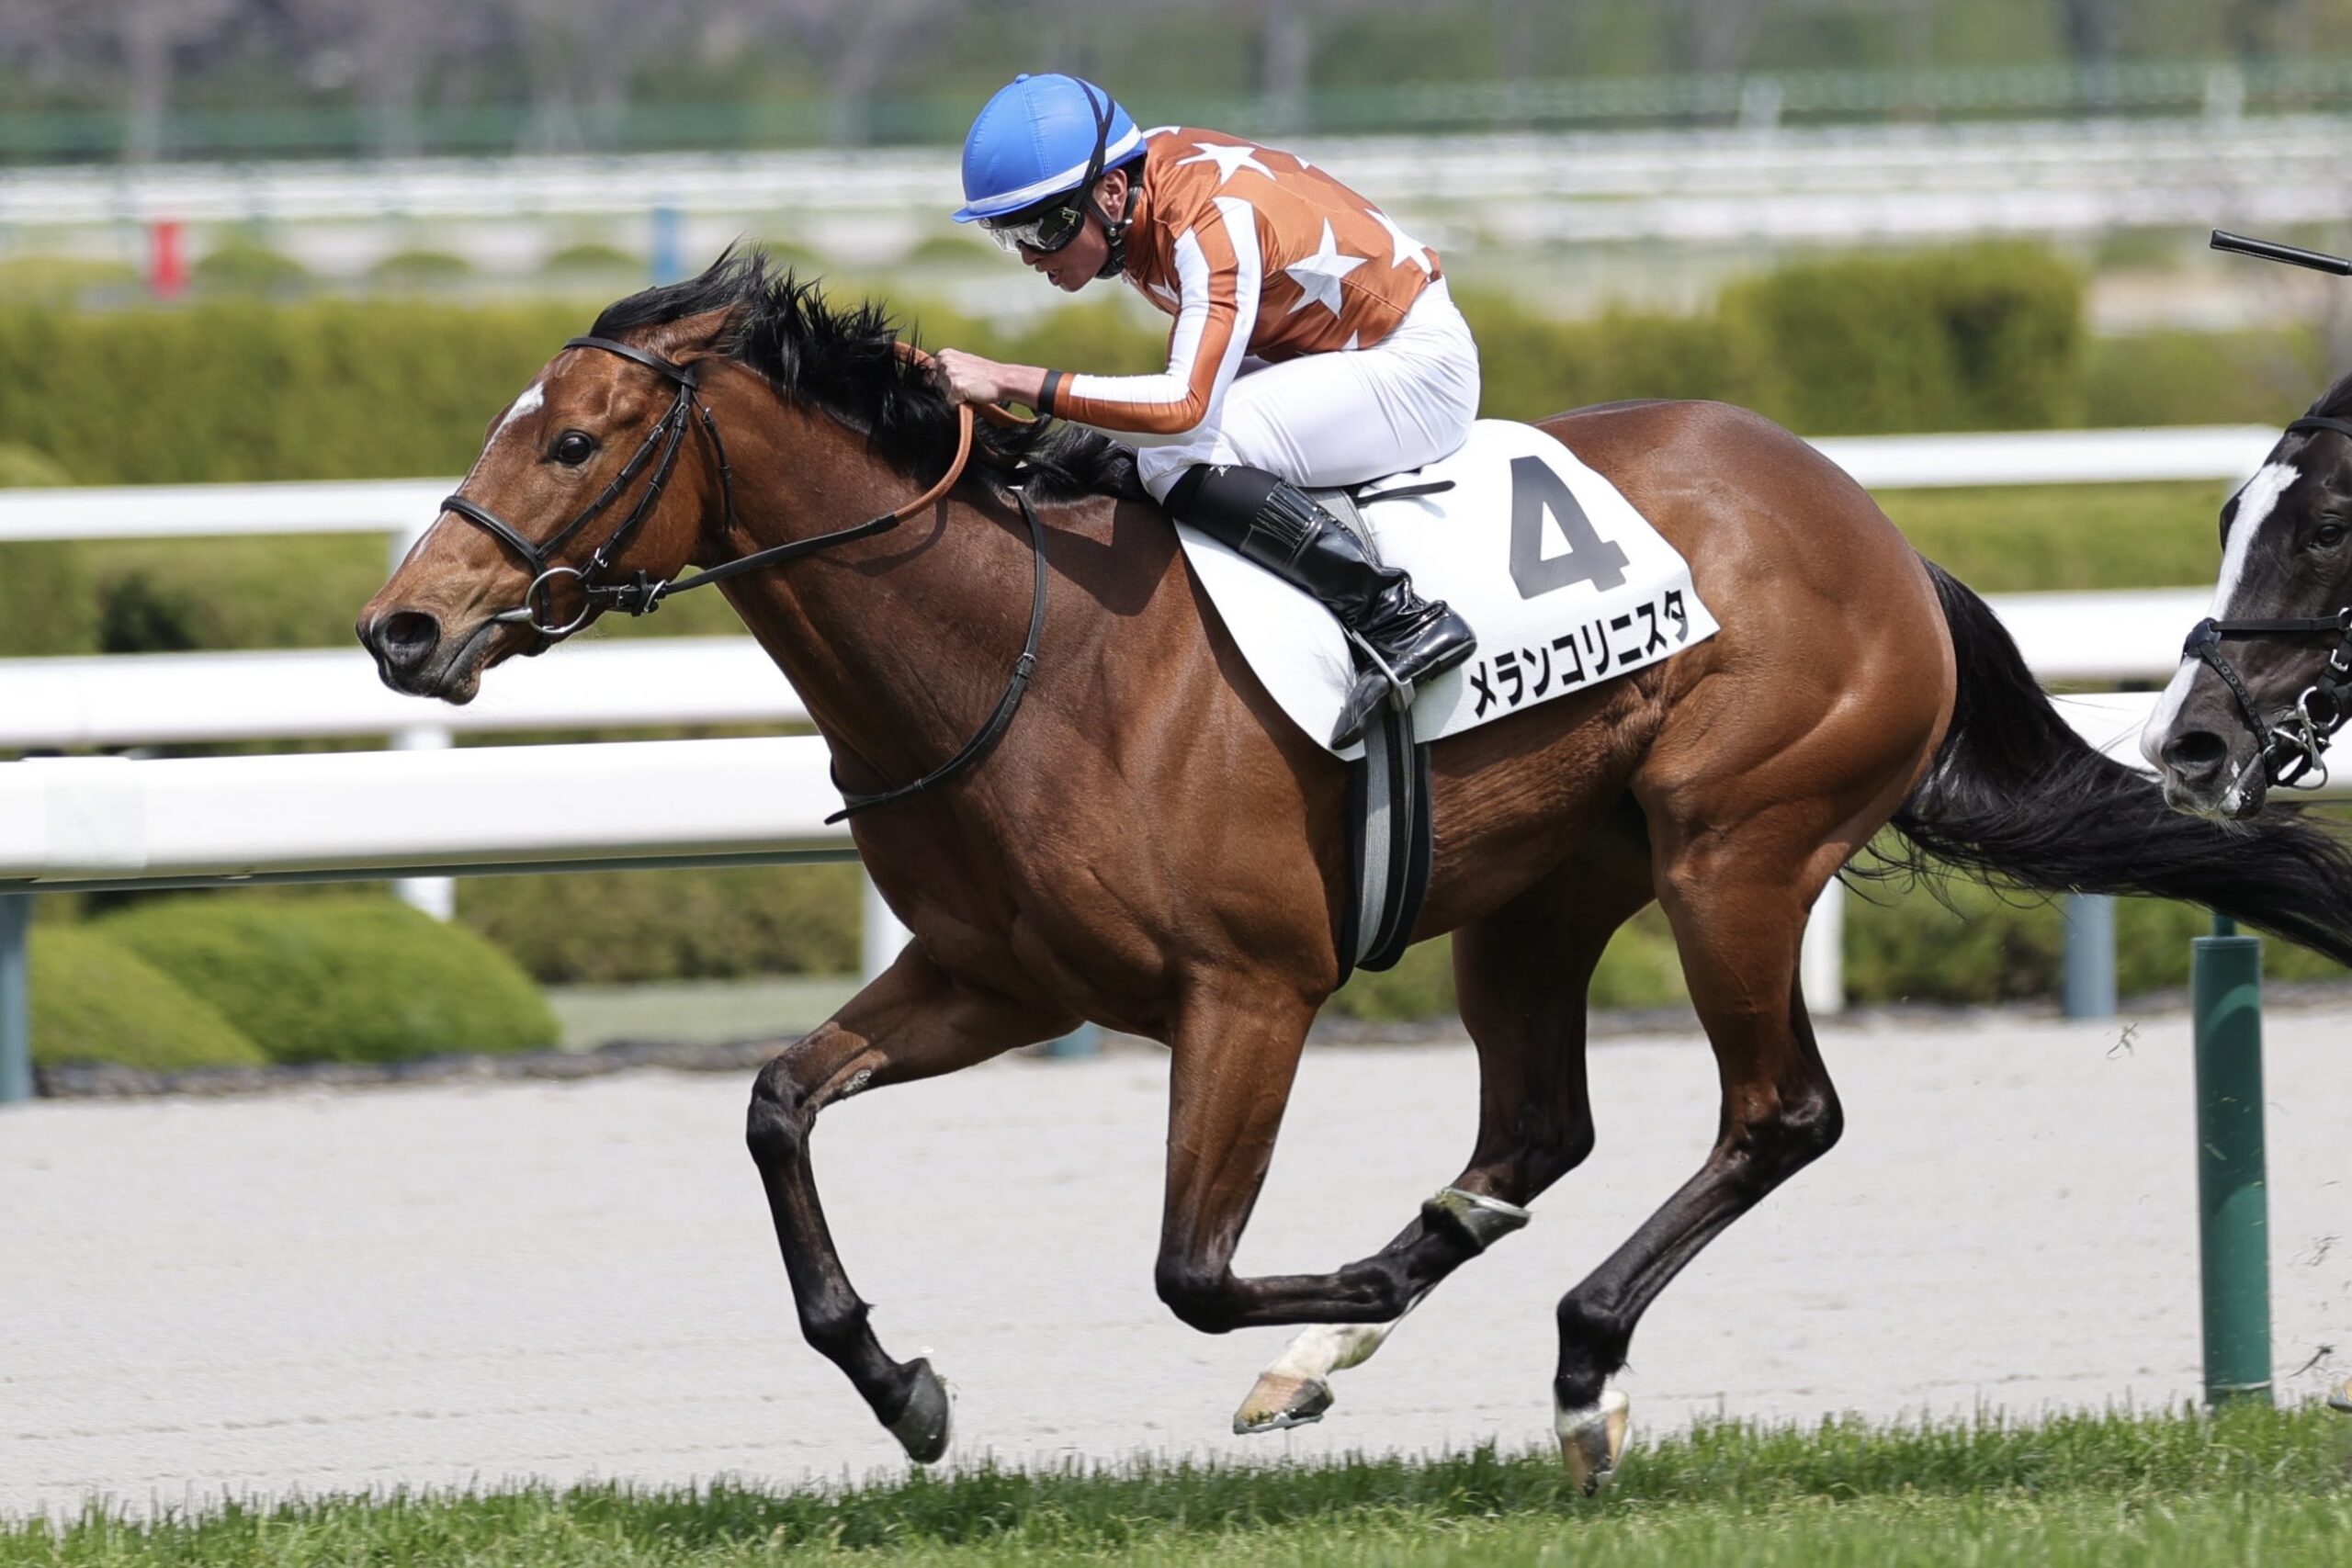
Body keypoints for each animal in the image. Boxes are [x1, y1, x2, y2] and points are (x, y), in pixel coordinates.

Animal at [360, 252, 2352, 1489]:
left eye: (576, 437)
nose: (403, 627)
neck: (1017, 643)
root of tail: (1867, 523)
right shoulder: (994, 975)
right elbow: (778, 1103)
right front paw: (905, 1387)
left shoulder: (1248, 989)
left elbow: (1191, 1263)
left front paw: (1336, 1307)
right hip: (1544, 893)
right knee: (1536, 1127)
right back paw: (1382, 1326)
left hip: (1736, 850)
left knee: (1775, 1114)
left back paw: (1573, 1363)